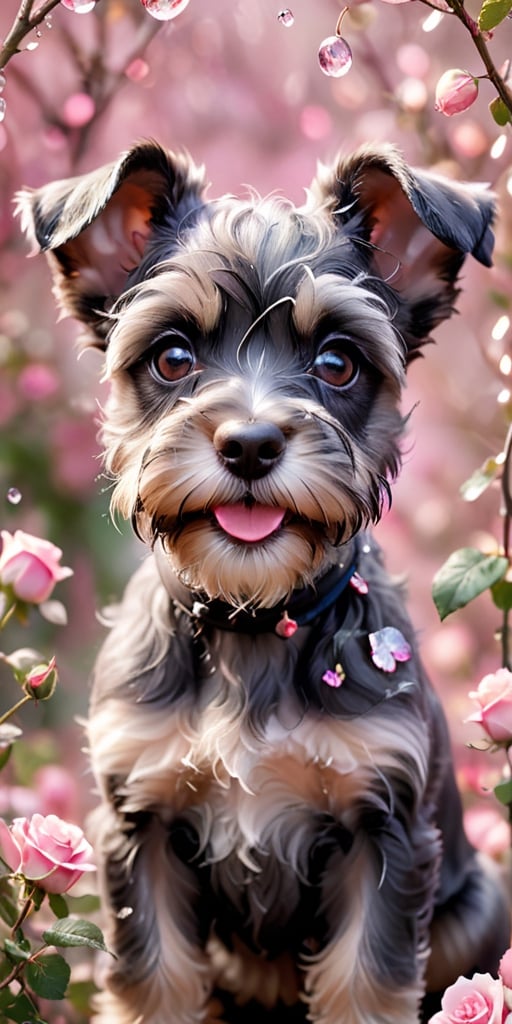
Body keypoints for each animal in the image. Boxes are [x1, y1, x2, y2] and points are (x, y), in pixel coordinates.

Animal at [14, 142, 507, 1024]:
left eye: (337, 362)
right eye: (173, 355)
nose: (248, 444)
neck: (252, 621)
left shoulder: (382, 833)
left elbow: (365, 985)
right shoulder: (141, 828)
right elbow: (155, 984)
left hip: (474, 902)